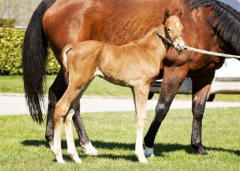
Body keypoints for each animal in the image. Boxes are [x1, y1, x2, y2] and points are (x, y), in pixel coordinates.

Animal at [53, 13, 186, 163]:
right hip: (77, 83)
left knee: (70, 112)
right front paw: (141, 157)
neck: (148, 50)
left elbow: (137, 116)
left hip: (82, 84)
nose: (181, 46)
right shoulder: (142, 86)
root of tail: (73, 46)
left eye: (182, 28)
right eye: (169, 28)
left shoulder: (134, 88)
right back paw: (59, 156)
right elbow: (142, 117)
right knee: (61, 107)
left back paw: (75, 157)